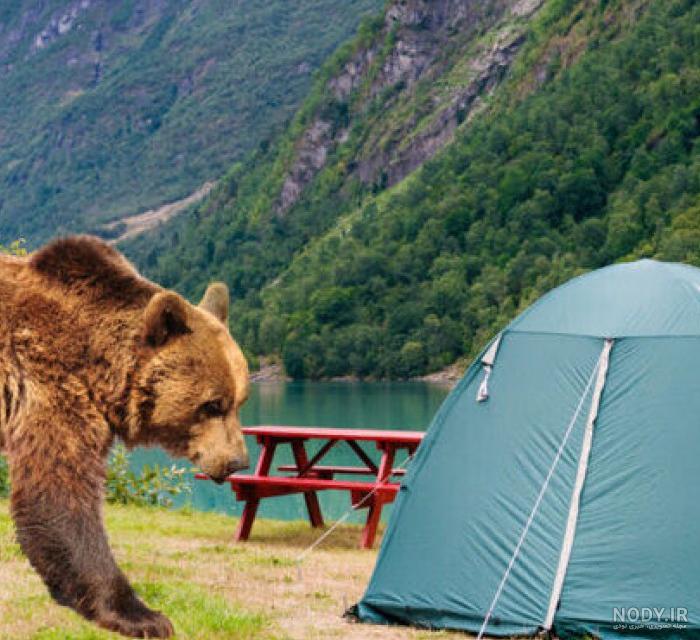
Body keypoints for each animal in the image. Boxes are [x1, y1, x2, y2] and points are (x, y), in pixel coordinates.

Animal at [0, 235, 250, 638]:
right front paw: (143, 615)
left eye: (240, 400)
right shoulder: (50, 385)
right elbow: (59, 495)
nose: (237, 461)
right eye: (212, 405)